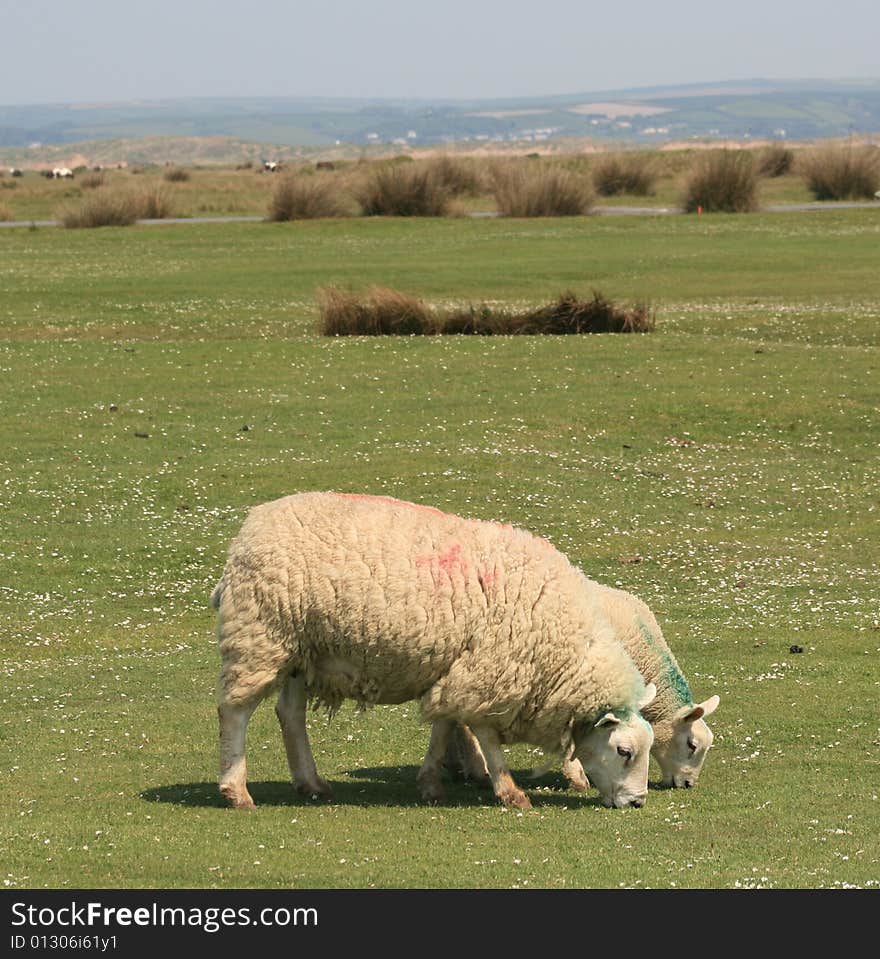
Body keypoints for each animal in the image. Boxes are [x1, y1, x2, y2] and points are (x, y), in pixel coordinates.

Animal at [210, 492, 656, 812]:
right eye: (624, 751)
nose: (637, 802)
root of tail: (247, 532)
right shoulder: (485, 672)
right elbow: (484, 736)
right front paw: (509, 790)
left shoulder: (458, 669)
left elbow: (443, 725)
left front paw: (430, 782)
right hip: (260, 635)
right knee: (234, 711)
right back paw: (237, 791)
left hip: (300, 649)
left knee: (290, 713)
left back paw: (311, 783)